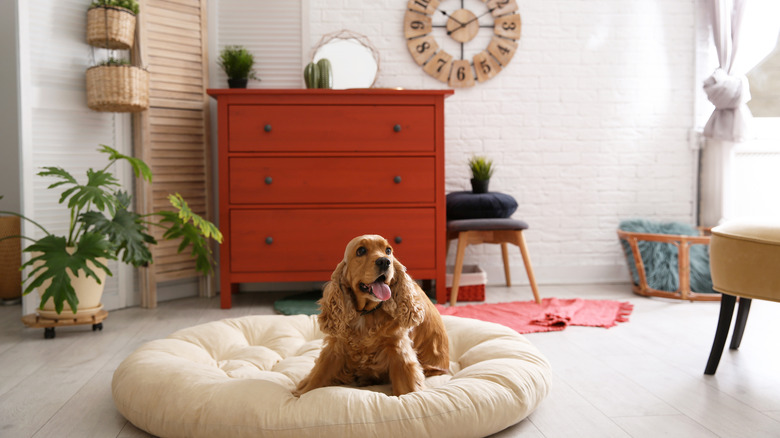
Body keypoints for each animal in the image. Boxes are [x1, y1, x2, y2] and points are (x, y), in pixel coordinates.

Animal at [294, 236, 450, 396]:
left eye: (388, 250)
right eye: (361, 251)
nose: (385, 261)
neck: (366, 313)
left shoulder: (398, 349)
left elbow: (406, 387)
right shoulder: (337, 346)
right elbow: (318, 375)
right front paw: (300, 394)